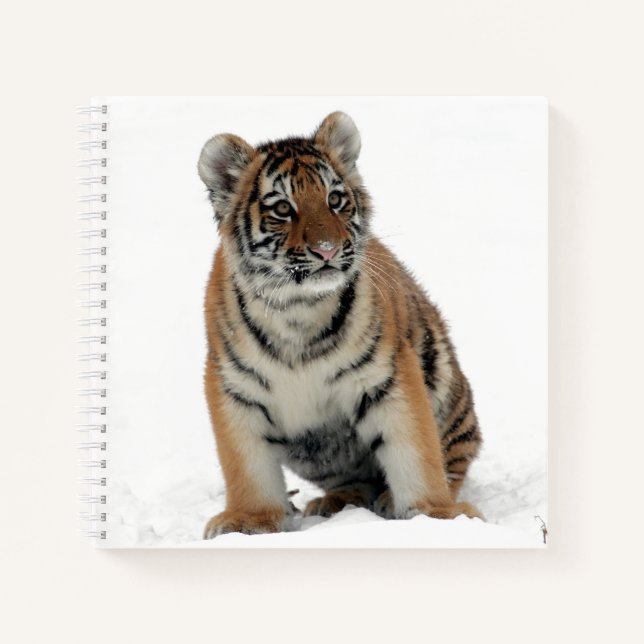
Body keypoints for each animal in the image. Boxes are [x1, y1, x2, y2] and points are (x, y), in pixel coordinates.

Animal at [197, 111, 483, 539]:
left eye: (335, 200)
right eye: (282, 208)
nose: (327, 250)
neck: (297, 308)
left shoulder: (388, 378)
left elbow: (415, 452)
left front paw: (437, 516)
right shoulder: (234, 389)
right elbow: (246, 466)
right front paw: (248, 521)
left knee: (450, 460)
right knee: (354, 479)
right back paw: (336, 503)